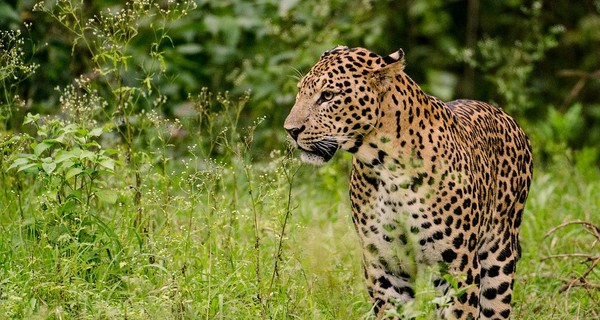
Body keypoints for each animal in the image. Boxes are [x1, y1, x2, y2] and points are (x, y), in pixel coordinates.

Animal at [284, 45, 532, 320]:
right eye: (300, 92)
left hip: (499, 256)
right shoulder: (385, 265)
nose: (290, 130)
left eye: (327, 96)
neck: (386, 167)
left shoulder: (458, 266)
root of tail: (505, 115)